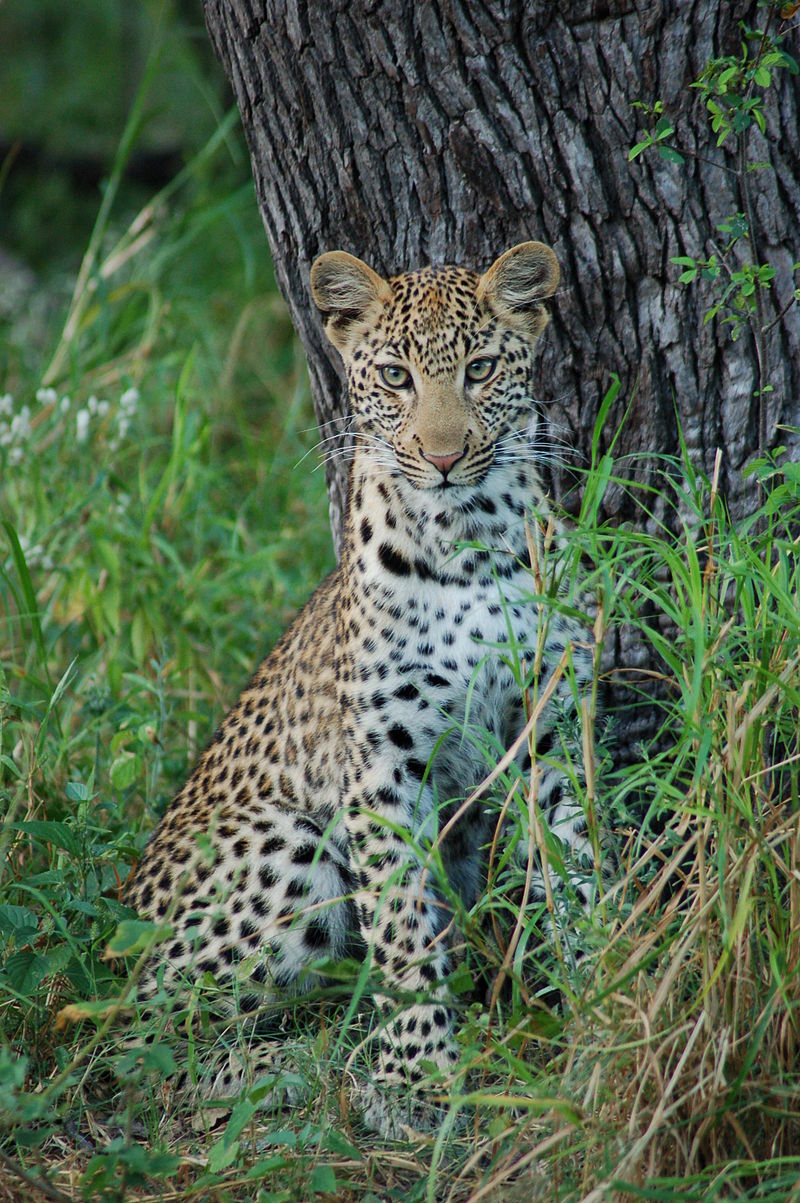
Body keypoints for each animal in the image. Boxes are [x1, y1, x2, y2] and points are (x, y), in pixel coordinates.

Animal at [125, 241, 599, 1135]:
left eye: (481, 369)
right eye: (394, 375)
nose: (443, 457)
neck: (469, 540)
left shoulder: (549, 728)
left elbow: (576, 862)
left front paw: (606, 991)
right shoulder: (381, 764)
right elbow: (402, 924)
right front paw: (417, 1077)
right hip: (286, 844)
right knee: (137, 1040)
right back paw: (296, 1067)